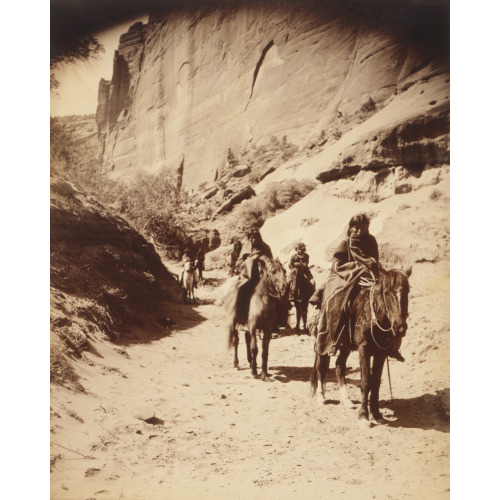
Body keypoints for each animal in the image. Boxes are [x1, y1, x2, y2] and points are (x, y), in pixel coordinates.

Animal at [310, 266, 412, 426]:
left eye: (407, 291)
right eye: (386, 292)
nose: (400, 327)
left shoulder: (381, 352)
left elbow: (376, 382)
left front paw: (376, 414)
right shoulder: (364, 348)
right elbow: (365, 381)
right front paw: (364, 416)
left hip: (345, 345)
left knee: (339, 366)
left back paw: (346, 400)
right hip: (323, 341)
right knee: (321, 366)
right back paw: (321, 398)